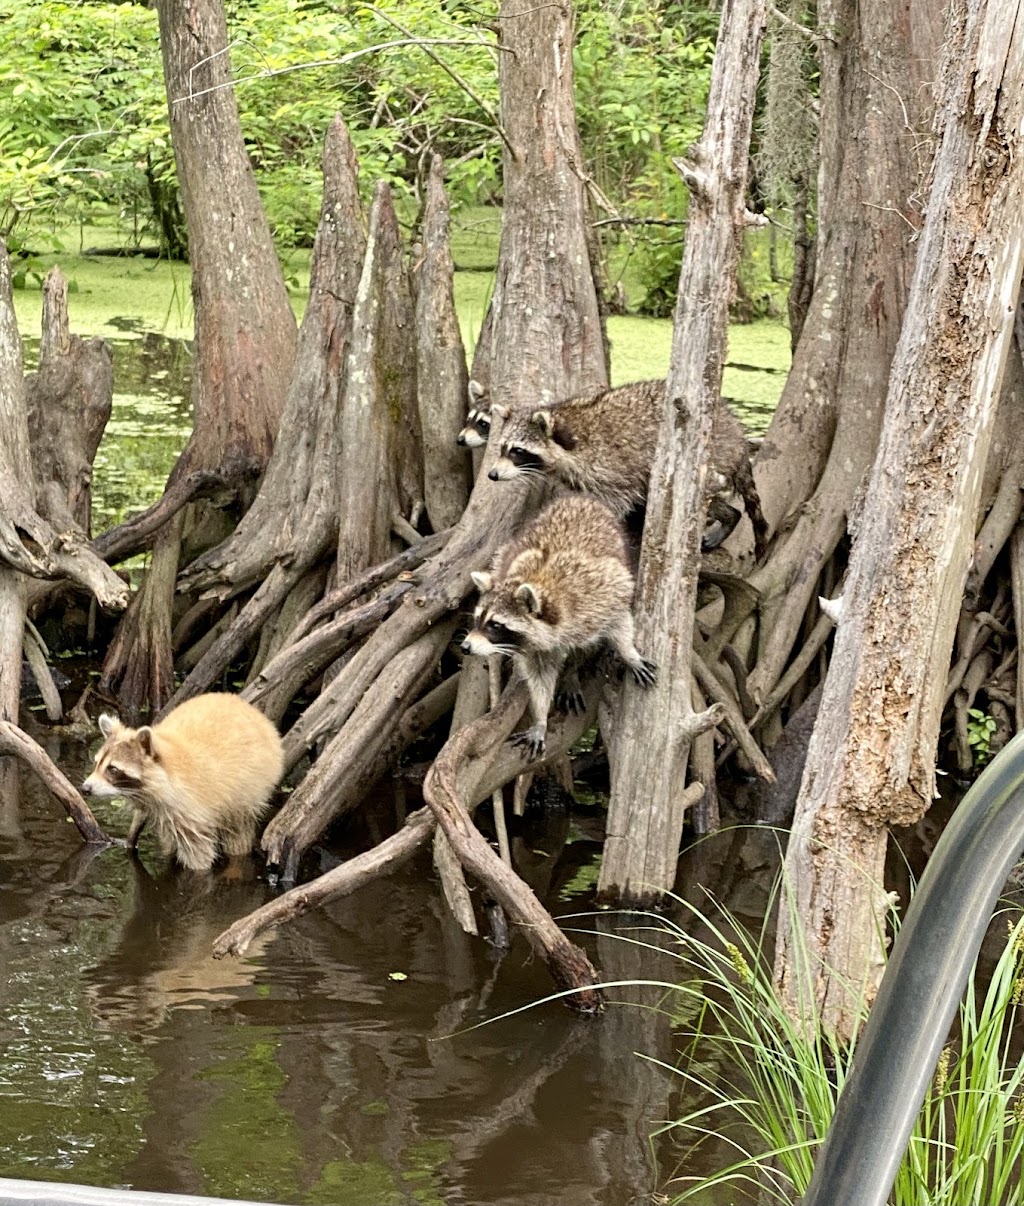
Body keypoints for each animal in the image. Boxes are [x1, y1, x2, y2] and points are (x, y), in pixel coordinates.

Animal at [82, 694, 283, 873]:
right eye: (96, 763)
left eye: (112, 769)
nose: (85, 788)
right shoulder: (161, 810)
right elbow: (168, 842)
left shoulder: (191, 811)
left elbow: (198, 854)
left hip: (250, 790)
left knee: (238, 834)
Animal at [458, 494, 651, 757]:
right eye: (478, 619)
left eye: (496, 625)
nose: (465, 647)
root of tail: (579, 498)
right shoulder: (538, 647)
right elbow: (540, 677)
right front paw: (541, 718)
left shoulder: (601, 595)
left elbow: (619, 619)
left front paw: (628, 653)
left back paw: (573, 670)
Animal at [487, 376, 767, 559]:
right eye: (502, 448)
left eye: (517, 451)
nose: (492, 474)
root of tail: (738, 435)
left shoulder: (612, 469)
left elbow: (616, 503)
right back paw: (730, 515)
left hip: (712, 458)